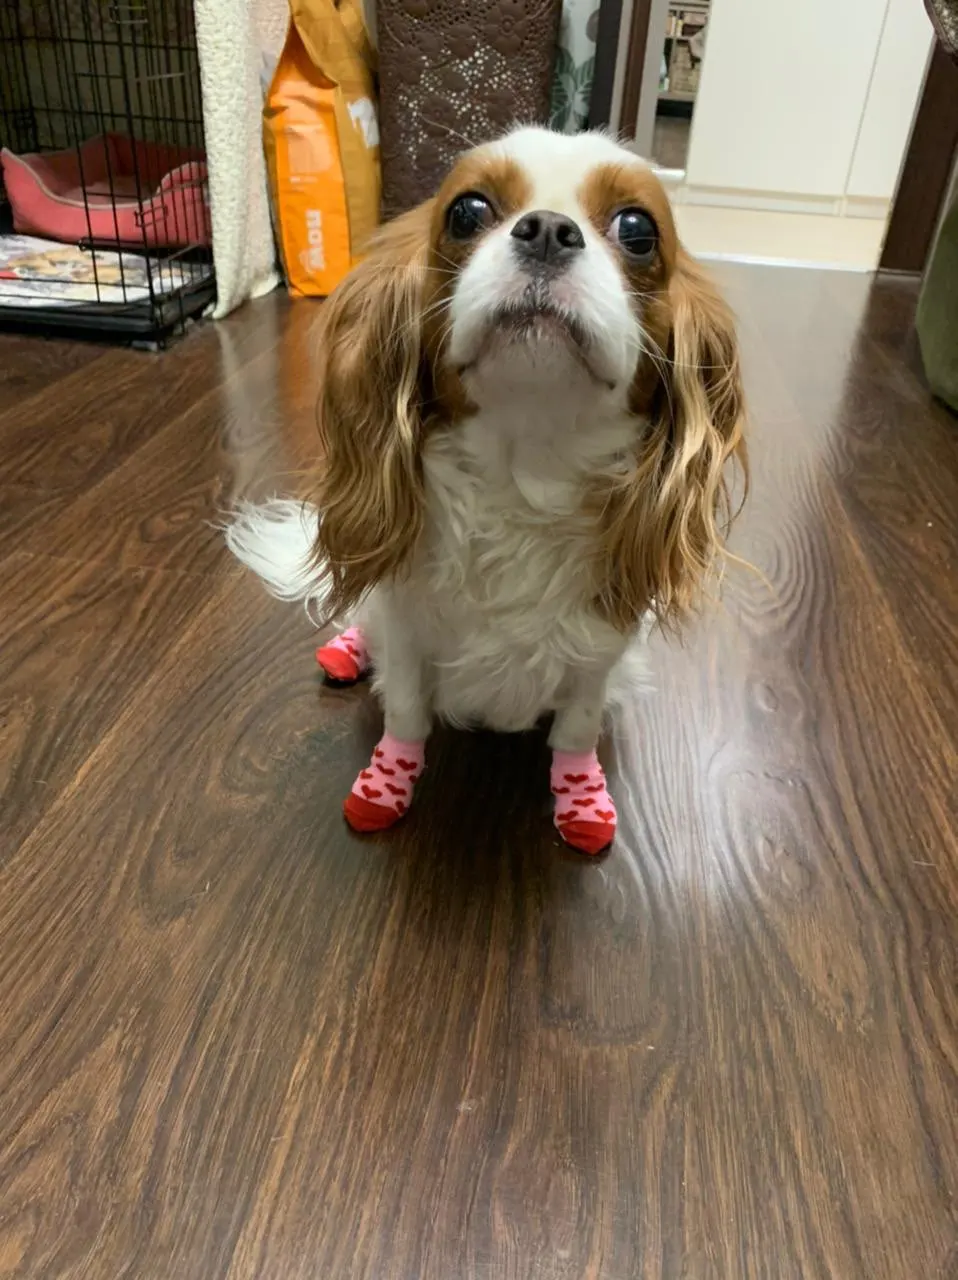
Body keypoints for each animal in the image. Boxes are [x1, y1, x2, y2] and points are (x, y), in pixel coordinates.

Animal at [227, 126, 746, 855]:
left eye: (638, 230)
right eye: (467, 212)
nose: (549, 230)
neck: (522, 469)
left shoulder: (597, 655)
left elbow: (576, 729)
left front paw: (580, 800)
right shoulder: (408, 633)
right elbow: (407, 715)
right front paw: (384, 788)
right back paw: (347, 650)